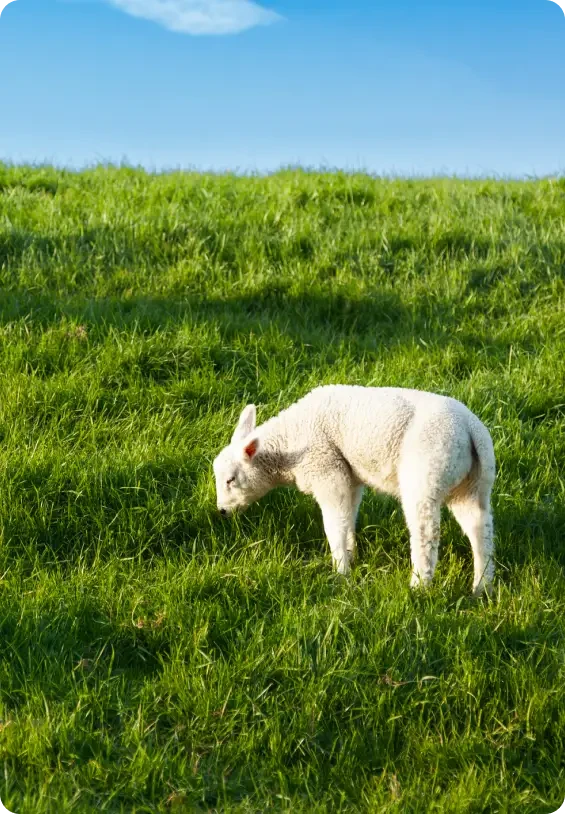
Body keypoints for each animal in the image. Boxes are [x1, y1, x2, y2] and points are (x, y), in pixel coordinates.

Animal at [213, 385, 496, 595]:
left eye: (230, 480)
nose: (222, 511)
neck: (289, 444)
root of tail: (471, 428)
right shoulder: (350, 476)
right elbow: (348, 515)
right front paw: (351, 555)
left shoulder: (327, 471)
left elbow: (334, 524)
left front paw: (341, 572)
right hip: (472, 484)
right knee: (480, 528)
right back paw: (482, 586)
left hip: (427, 473)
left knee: (426, 533)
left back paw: (419, 586)